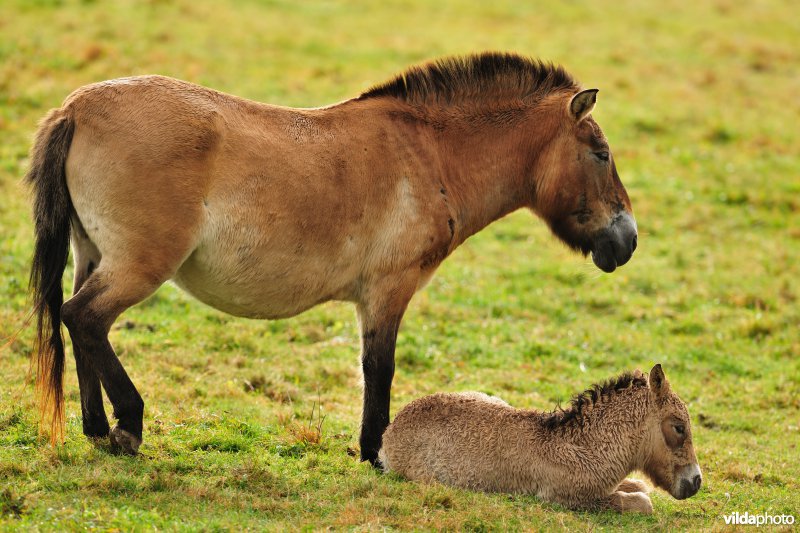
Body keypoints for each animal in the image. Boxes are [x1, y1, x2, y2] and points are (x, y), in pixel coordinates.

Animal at [26, 52, 637, 463]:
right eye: (601, 154)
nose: (627, 240)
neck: (431, 153)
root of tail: (77, 108)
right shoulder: (388, 291)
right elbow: (379, 369)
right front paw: (374, 453)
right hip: (139, 266)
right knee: (84, 317)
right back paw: (127, 426)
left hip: (93, 255)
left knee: (80, 324)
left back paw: (96, 429)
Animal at [379, 364, 701, 513]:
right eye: (679, 427)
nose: (696, 481)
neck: (585, 447)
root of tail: (389, 433)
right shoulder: (569, 499)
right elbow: (641, 501)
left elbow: (638, 486)